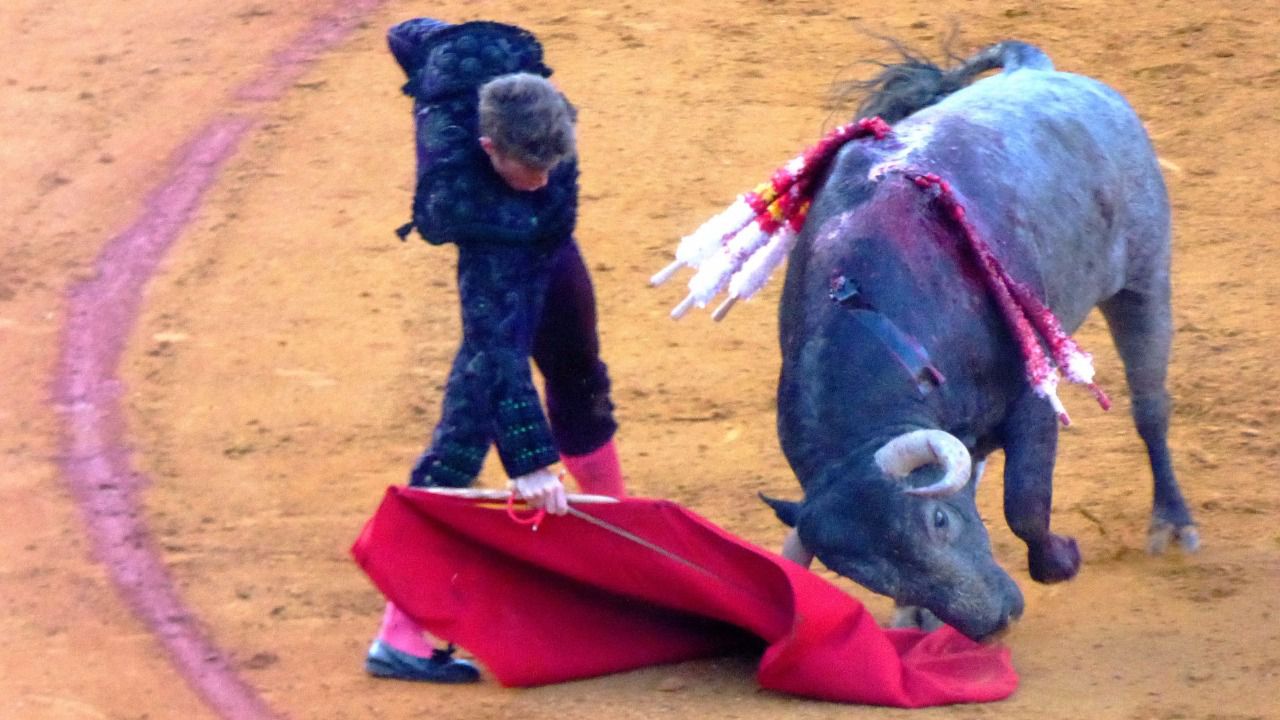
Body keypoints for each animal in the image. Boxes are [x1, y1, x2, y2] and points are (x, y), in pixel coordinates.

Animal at [757, 41, 1198, 635]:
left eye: (939, 520)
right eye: (862, 577)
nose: (994, 625)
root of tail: (1035, 69)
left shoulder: (1034, 402)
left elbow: (1025, 504)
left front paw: (1061, 559)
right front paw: (916, 614)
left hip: (1144, 280)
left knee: (1150, 407)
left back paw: (1172, 523)